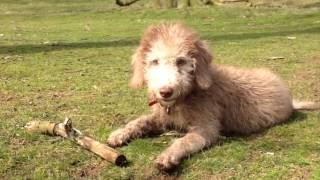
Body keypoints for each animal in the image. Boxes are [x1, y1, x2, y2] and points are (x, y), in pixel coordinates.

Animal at [107, 22, 318, 172]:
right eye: (154, 61)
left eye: (181, 61)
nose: (165, 92)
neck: (187, 96)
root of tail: (290, 100)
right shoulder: (163, 118)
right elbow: (140, 120)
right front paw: (119, 134)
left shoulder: (207, 128)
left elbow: (185, 141)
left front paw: (168, 156)